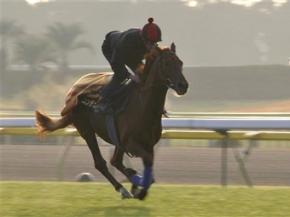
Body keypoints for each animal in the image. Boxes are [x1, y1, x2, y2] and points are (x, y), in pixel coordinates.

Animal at [35, 42, 188, 200]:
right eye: (166, 63)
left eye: (180, 62)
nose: (183, 85)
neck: (143, 107)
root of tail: (72, 90)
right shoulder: (131, 144)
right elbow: (147, 164)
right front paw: (140, 189)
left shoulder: (147, 144)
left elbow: (148, 166)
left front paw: (137, 183)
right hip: (86, 130)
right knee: (101, 163)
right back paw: (122, 188)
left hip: (116, 140)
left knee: (115, 161)